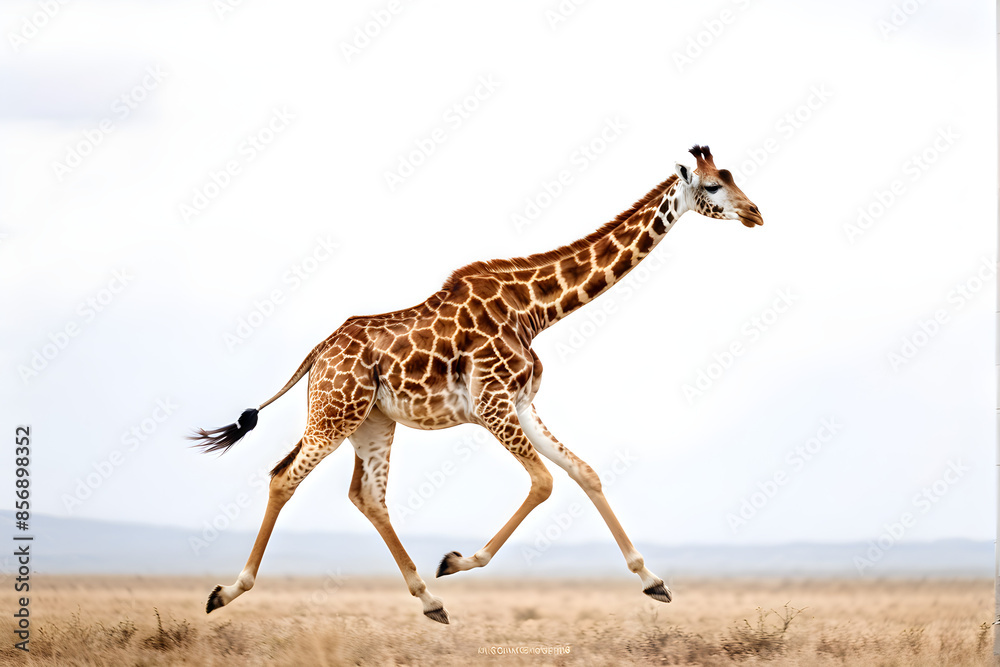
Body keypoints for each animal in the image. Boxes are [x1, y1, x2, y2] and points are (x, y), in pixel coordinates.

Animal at [192, 145, 762, 624]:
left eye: (731, 176)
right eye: (713, 186)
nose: (756, 213)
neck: (534, 310)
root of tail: (316, 354)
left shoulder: (522, 403)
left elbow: (585, 472)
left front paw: (653, 581)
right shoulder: (492, 404)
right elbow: (545, 482)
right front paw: (456, 560)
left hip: (371, 421)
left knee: (368, 496)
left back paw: (430, 602)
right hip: (336, 412)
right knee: (283, 478)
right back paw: (227, 591)